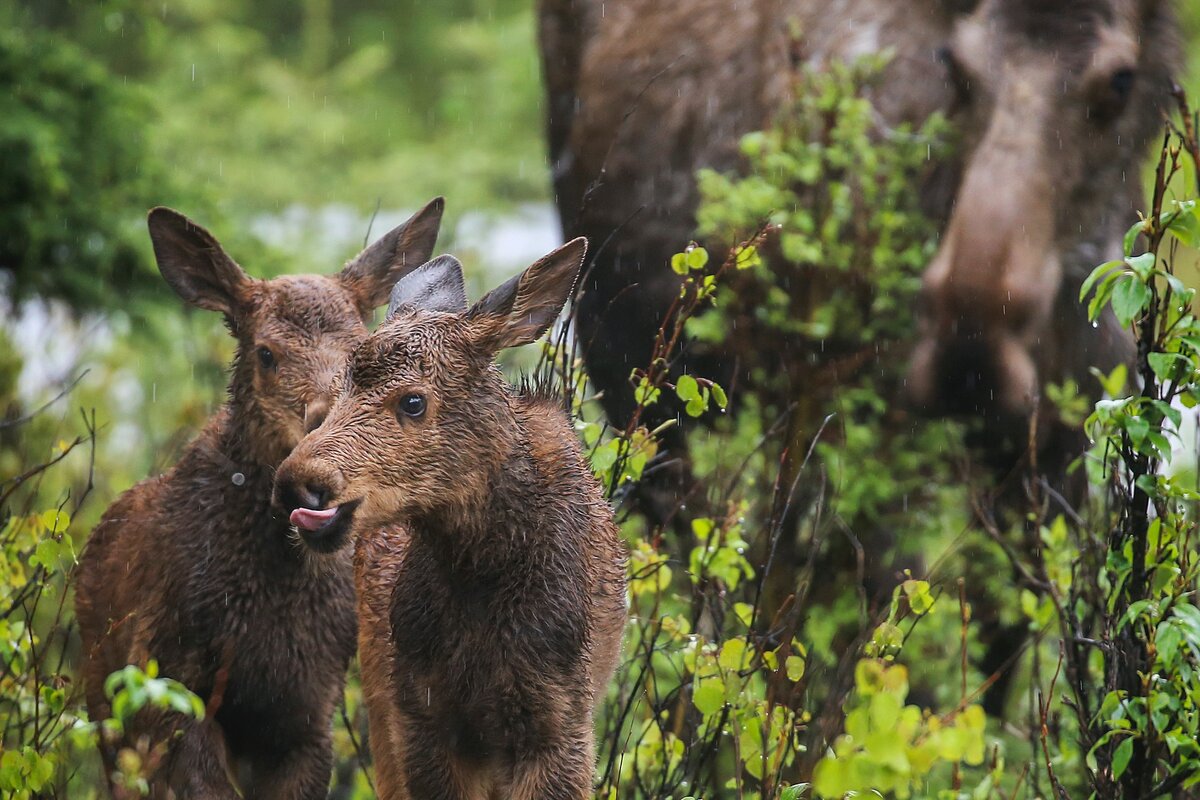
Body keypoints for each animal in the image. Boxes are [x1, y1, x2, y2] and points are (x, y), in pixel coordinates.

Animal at [77, 196, 448, 796]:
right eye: (266, 353)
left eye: (359, 349)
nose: (324, 422)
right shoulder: (166, 681)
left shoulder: (307, 710)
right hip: (106, 705)